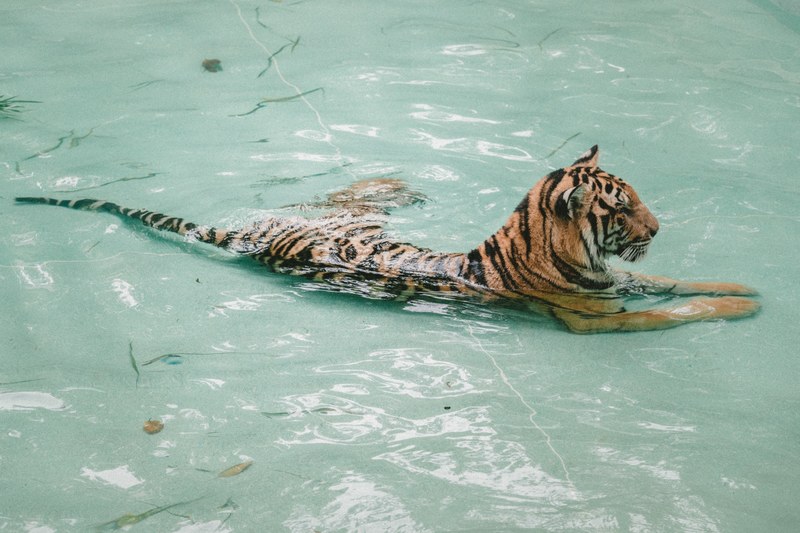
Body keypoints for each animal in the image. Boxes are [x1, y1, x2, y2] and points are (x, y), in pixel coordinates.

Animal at [15, 145, 759, 333]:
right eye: (623, 207)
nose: (658, 228)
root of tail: (245, 236)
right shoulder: (597, 317)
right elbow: (677, 309)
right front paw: (741, 306)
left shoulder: (620, 281)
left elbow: (679, 283)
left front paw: (744, 285)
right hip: (325, 217)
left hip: (336, 215)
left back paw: (397, 182)